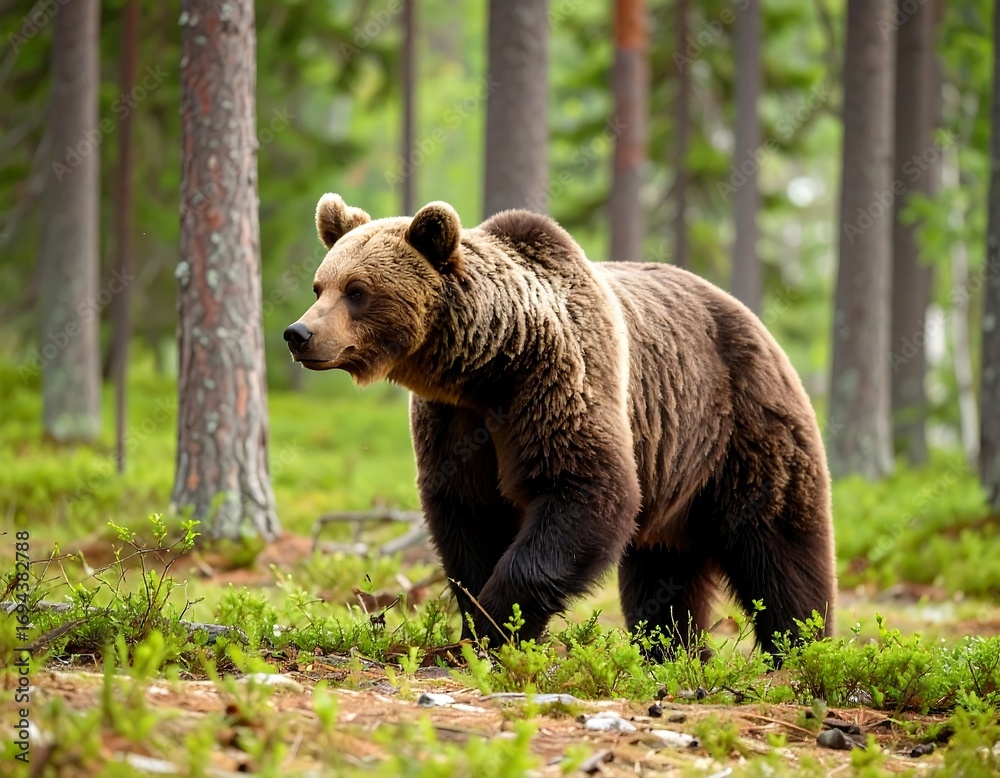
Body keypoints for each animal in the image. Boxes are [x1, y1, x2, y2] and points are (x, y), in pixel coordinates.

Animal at [284, 193, 836, 658]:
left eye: (357, 291)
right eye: (320, 285)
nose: (298, 333)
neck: (489, 368)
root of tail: (755, 322)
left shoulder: (557, 383)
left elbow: (584, 490)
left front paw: (497, 626)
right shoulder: (454, 422)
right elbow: (467, 514)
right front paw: (475, 624)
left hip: (744, 430)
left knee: (780, 548)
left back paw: (802, 648)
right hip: (675, 474)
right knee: (663, 571)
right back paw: (670, 652)